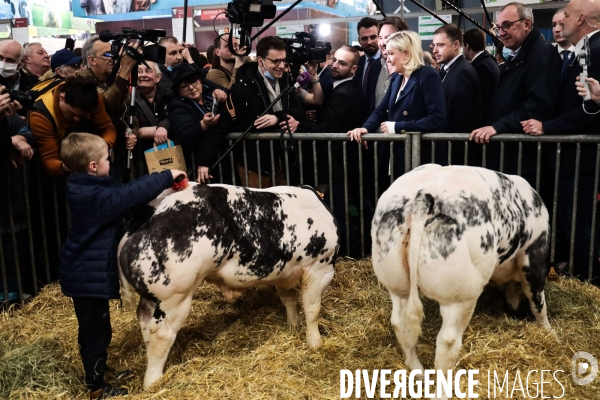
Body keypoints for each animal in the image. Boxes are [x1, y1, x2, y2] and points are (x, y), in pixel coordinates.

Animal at [117, 183, 338, 390]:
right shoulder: (320, 268)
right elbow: (312, 309)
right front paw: (315, 343)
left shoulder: (285, 274)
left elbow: (290, 301)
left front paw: (293, 326)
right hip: (175, 296)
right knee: (161, 333)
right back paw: (154, 382)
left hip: (153, 297)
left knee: (144, 319)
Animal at [376, 164, 552, 396]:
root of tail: (425, 194)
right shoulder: (535, 255)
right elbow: (538, 302)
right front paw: (549, 333)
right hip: (459, 296)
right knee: (448, 340)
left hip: (396, 283)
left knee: (400, 323)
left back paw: (418, 371)